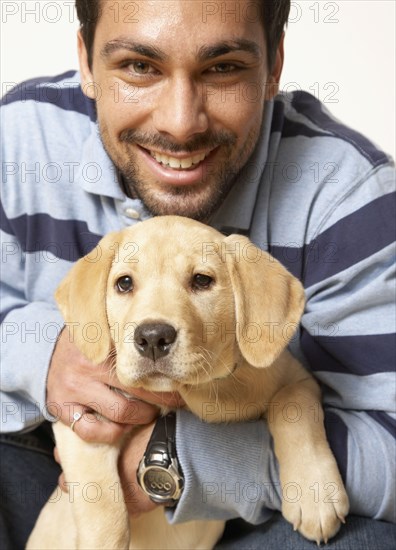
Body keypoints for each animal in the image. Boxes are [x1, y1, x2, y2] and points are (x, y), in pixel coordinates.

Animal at [27, 217, 348, 550]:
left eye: (202, 281)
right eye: (124, 283)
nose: (152, 337)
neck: (199, 391)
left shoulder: (297, 377)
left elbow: (293, 407)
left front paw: (315, 495)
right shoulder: (88, 425)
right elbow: (103, 508)